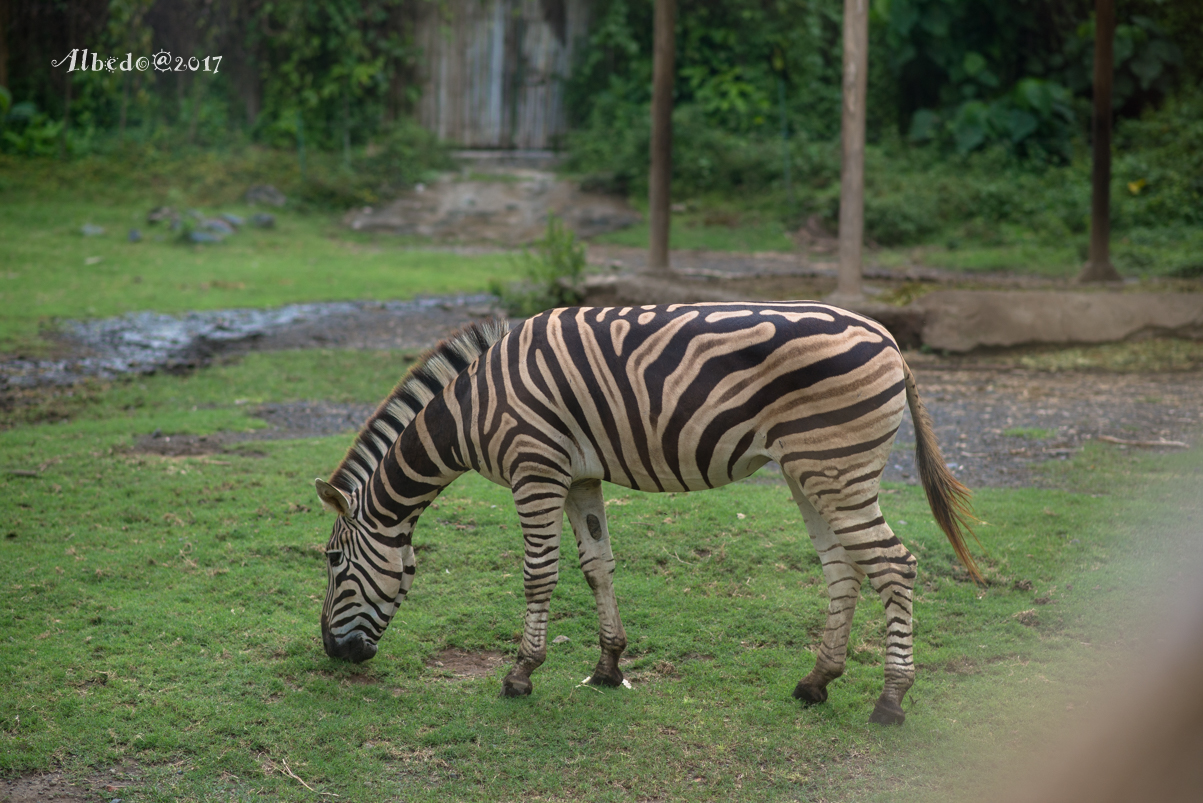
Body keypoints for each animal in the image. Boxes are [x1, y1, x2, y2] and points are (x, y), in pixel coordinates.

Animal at [315, 303, 981, 727]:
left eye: (332, 560)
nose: (331, 651)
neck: (471, 407)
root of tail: (889, 338)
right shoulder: (579, 476)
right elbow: (597, 565)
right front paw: (609, 666)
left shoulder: (536, 469)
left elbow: (539, 575)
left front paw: (521, 674)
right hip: (809, 471)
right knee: (845, 570)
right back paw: (816, 683)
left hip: (835, 469)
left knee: (895, 565)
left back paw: (891, 701)